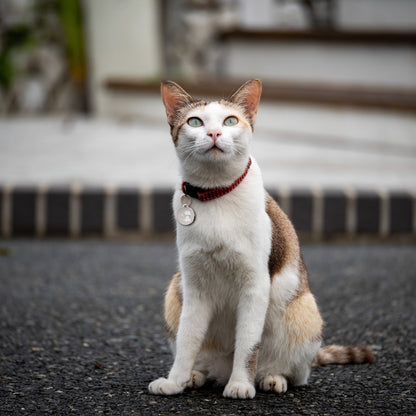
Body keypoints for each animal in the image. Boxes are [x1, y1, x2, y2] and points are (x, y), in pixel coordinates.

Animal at [149, 79, 374, 400]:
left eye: (230, 121)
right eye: (195, 122)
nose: (214, 133)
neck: (215, 193)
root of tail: (220, 369)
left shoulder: (256, 284)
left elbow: (247, 344)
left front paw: (241, 384)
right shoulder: (194, 286)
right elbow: (187, 340)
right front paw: (175, 381)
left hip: (305, 309)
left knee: (297, 372)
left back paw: (270, 378)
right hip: (174, 288)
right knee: (198, 355)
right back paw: (195, 376)